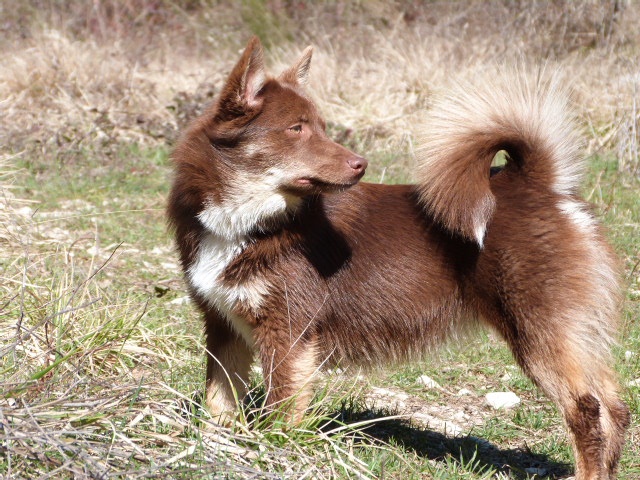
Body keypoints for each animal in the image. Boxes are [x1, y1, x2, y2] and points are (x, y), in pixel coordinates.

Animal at [166, 38, 632, 480]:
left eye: (321, 128)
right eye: (296, 128)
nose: (361, 164)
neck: (249, 222)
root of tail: (537, 183)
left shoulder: (288, 336)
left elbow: (280, 412)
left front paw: (273, 450)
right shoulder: (223, 327)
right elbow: (218, 404)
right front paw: (215, 444)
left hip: (539, 333)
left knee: (587, 409)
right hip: (570, 335)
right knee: (616, 408)